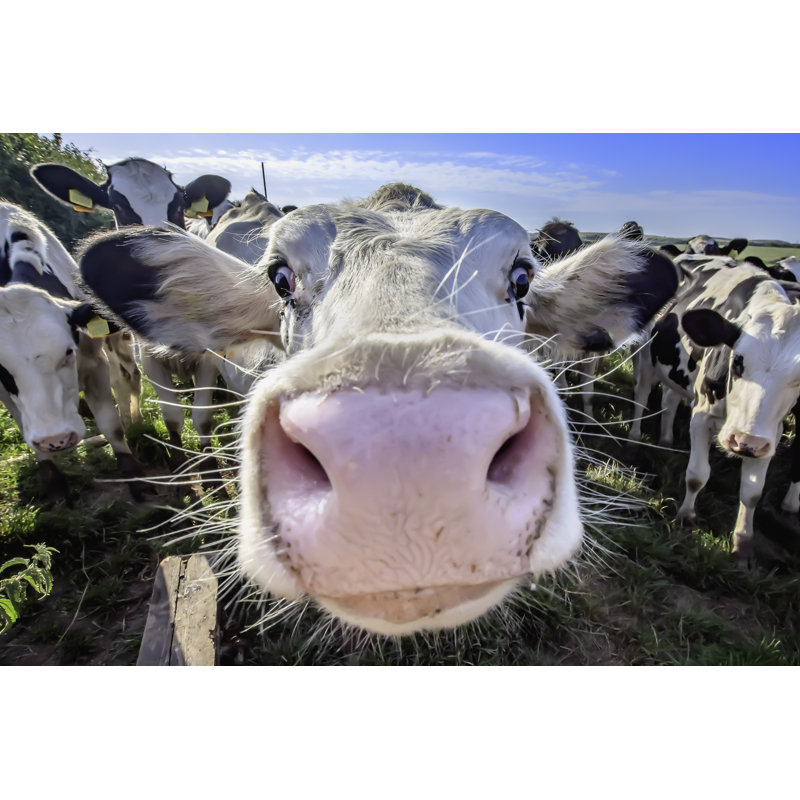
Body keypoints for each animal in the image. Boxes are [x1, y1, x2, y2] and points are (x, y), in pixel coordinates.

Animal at [0, 202, 143, 500]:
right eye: (0, 367)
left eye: (68, 351)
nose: (56, 440)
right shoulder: (4, 391)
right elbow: (24, 427)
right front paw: (54, 485)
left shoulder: (95, 363)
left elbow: (111, 423)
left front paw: (137, 478)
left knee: (126, 379)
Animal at [32, 158, 232, 479]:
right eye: (117, 205)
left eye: (178, 204)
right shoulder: (150, 357)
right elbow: (172, 416)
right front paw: (180, 467)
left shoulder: (208, 356)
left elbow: (202, 416)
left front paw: (212, 472)